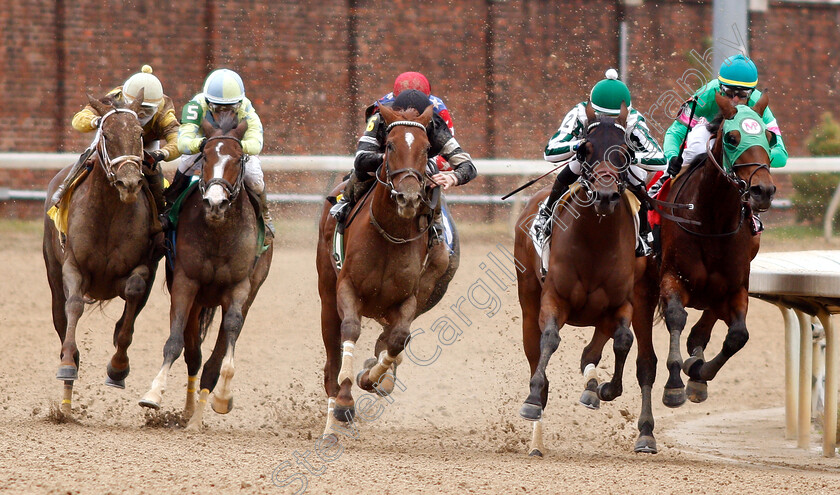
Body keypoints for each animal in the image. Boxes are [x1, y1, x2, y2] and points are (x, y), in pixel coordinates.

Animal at [44, 91, 159, 416]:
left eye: (140, 133)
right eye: (106, 134)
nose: (129, 182)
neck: (109, 212)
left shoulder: (141, 267)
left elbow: (132, 297)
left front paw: (117, 368)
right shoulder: (73, 266)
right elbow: (73, 305)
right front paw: (67, 364)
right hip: (52, 274)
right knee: (61, 317)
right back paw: (66, 399)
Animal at [136, 112, 270, 430]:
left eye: (238, 158)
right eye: (205, 155)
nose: (216, 202)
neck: (219, 232)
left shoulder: (240, 287)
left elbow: (228, 338)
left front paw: (223, 397)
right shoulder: (186, 283)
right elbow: (175, 343)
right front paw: (153, 394)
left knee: (212, 356)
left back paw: (198, 416)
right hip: (198, 299)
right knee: (194, 354)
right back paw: (188, 413)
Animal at [316, 102, 460, 440]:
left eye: (426, 149)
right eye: (390, 145)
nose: (408, 196)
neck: (389, 236)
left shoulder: (407, 299)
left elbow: (397, 339)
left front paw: (372, 377)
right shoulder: (347, 288)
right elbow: (351, 331)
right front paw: (345, 402)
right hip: (327, 297)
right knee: (332, 361)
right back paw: (331, 423)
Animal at [512, 103, 644, 458]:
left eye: (626, 152)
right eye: (586, 149)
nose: (605, 195)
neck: (596, 241)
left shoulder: (620, 303)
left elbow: (623, 340)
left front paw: (606, 389)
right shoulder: (554, 299)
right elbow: (550, 341)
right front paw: (532, 400)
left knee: (591, 353)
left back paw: (591, 388)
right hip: (528, 302)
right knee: (536, 354)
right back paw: (536, 439)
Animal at [632, 91, 776, 456]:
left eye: (769, 138)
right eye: (732, 138)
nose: (763, 191)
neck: (712, 220)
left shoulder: (735, 288)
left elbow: (737, 336)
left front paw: (698, 372)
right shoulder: (672, 280)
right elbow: (675, 319)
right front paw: (674, 385)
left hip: (713, 294)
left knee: (701, 333)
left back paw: (696, 373)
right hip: (642, 292)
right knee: (646, 363)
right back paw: (646, 432)